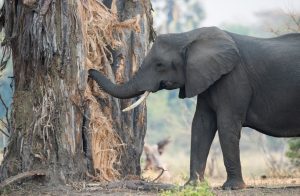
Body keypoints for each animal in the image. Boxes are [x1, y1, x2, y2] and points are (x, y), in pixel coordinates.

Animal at [88, 26, 300, 189]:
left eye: (160, 64)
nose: (90, 71)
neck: (189, 36)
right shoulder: (204, 78)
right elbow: (201, 124)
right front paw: (193, 185)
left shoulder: (233, 78)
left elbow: (226, 125)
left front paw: (232, 188)